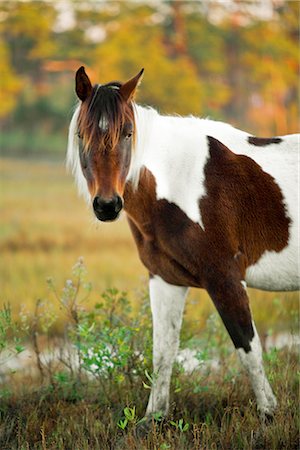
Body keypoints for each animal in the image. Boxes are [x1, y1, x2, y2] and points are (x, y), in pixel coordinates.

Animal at [67, 67, 298, 422]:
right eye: (82, 134)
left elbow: (248, 347)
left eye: (128, 133)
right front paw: (152, 419)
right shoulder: (165, 280)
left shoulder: (225, 278)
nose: (107, 205)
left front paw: (269, 416)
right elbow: (163, 351)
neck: (181, 183)